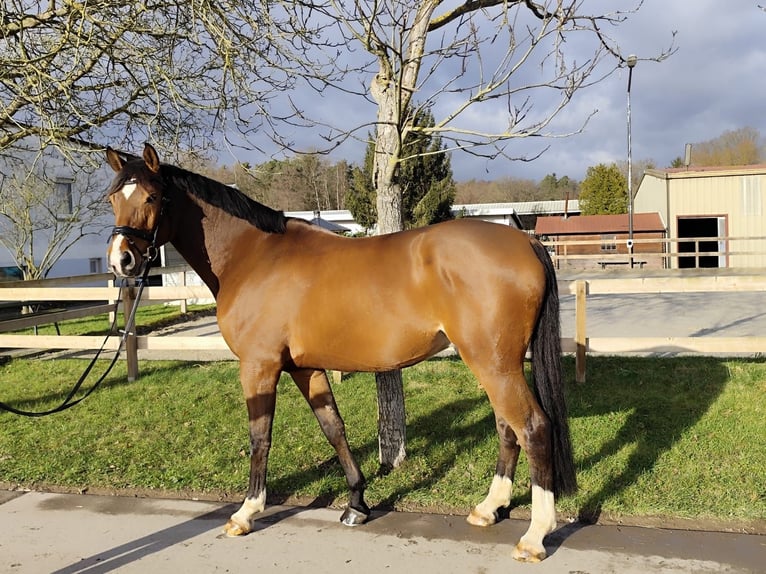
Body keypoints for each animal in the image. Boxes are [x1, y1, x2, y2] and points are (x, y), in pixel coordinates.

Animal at [106, 143, 576, 564]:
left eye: (151, 197)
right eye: (113, 197)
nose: (121, 261)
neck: (253, 256)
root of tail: (527, 243)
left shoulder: (259, 366)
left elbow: (260, 436)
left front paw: (246, 512)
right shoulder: (306, 368)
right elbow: (334, 429)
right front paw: (357, 504)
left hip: (494, 364)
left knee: (533, 427)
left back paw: (535, 536)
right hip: (493, 363)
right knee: (507, 427)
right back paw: (488, 509)